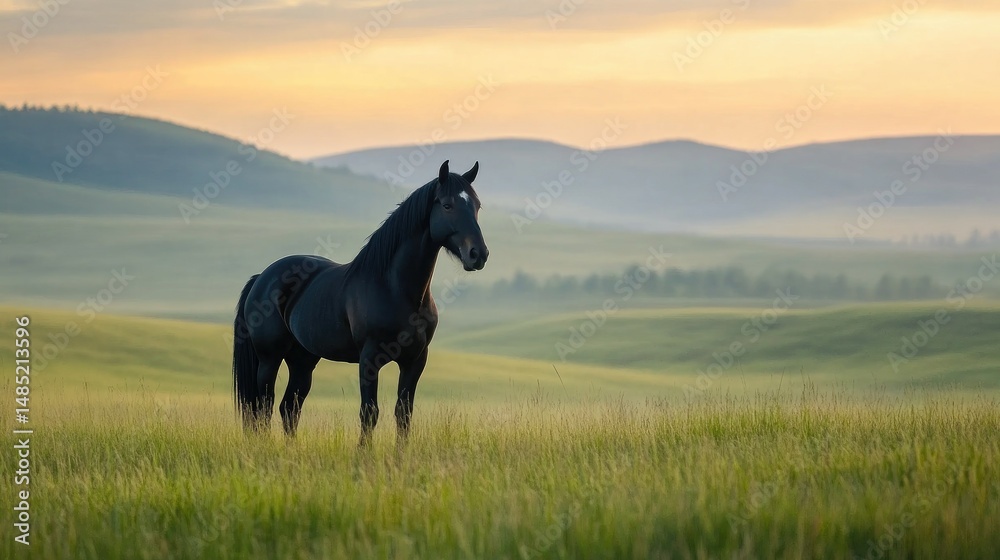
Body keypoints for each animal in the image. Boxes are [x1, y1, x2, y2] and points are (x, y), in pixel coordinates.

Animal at [232, 160, 488, 446]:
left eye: (477, 205)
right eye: (447, 205)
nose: (478, 254)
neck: (395, 289)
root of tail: (262, 278)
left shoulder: (415, 361)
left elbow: (404, 413)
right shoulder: (369, 360)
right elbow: (369, 413)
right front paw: (363, 454)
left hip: (303, 360)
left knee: (289, 407)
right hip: (269, 358)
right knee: (262, 407)